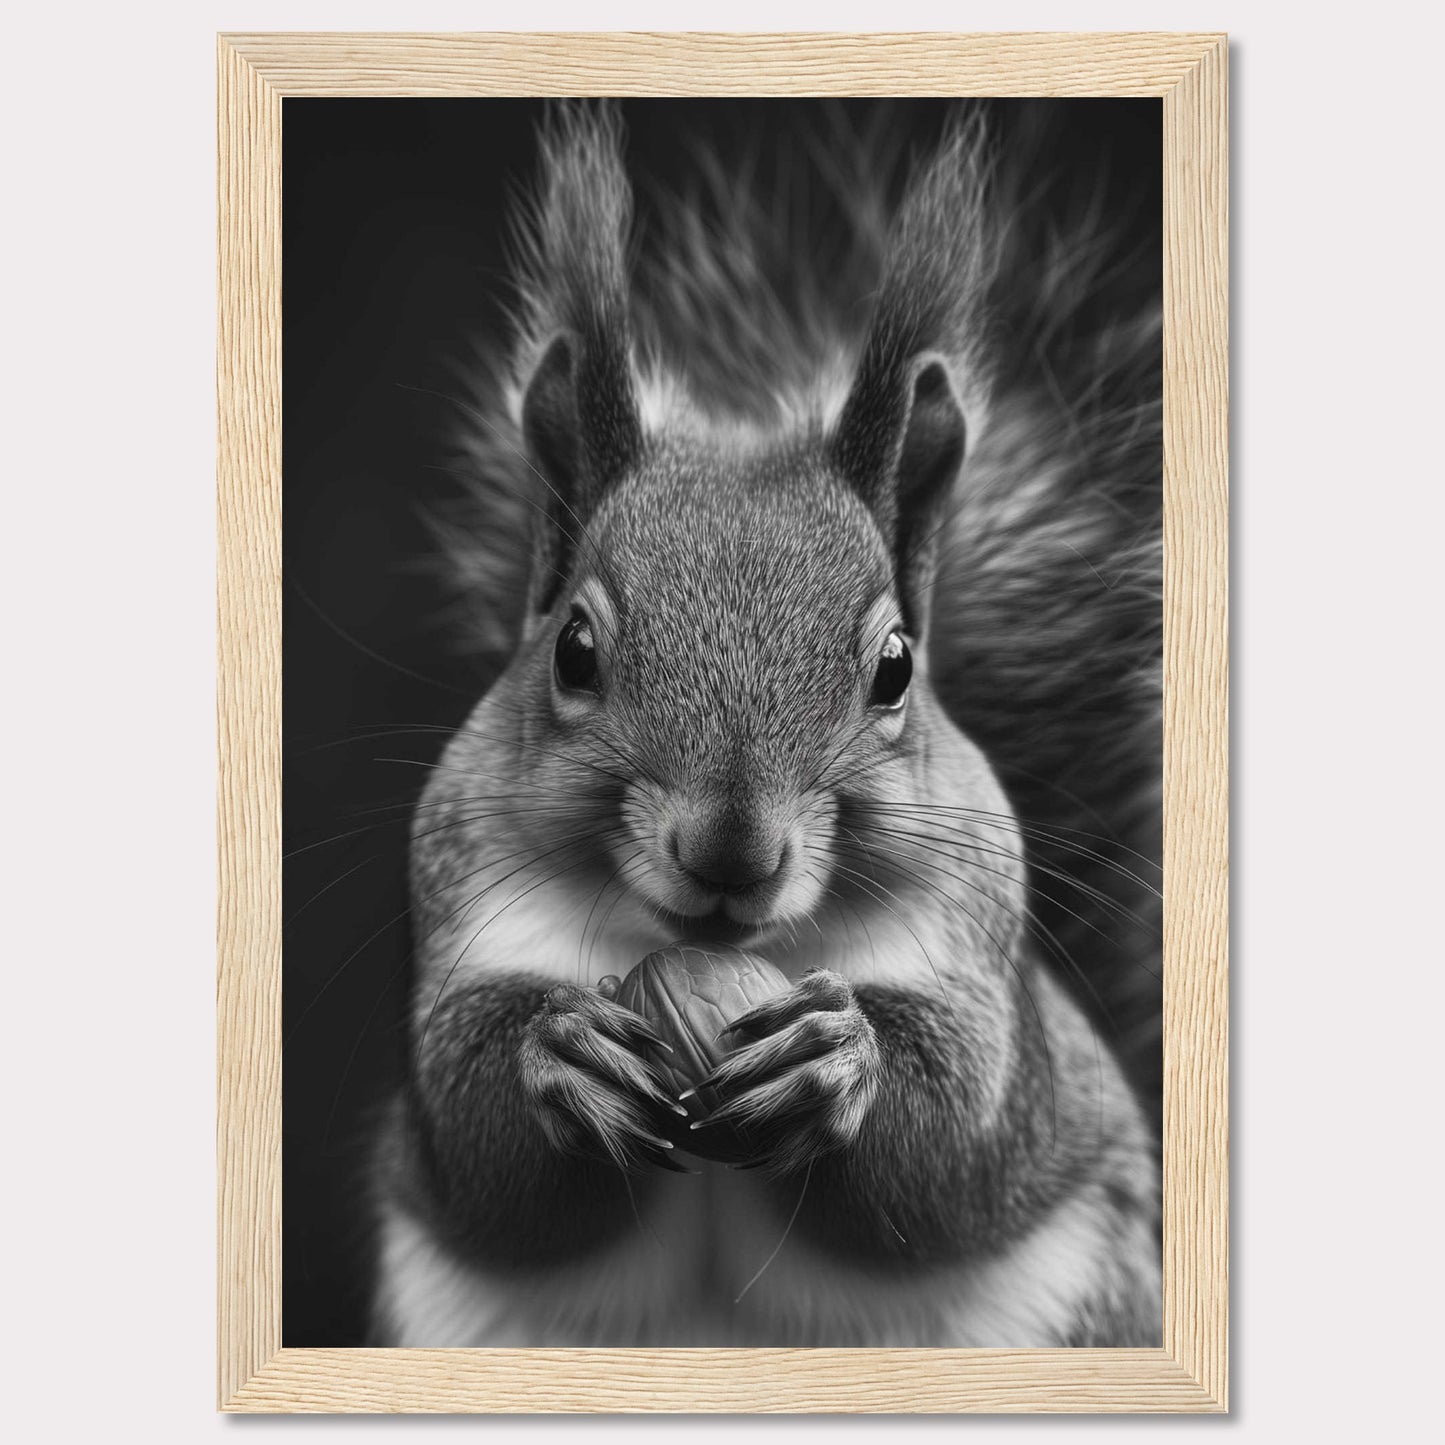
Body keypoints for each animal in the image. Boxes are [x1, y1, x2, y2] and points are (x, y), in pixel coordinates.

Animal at [369, 104, 1161, 1352]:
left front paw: (840, 1063)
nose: (731, 854)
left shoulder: (980, 970)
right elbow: (479, 1155)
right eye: (572, 651)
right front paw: (561, 1054)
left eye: (893, 668)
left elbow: (953, 1152)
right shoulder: (461, 916)